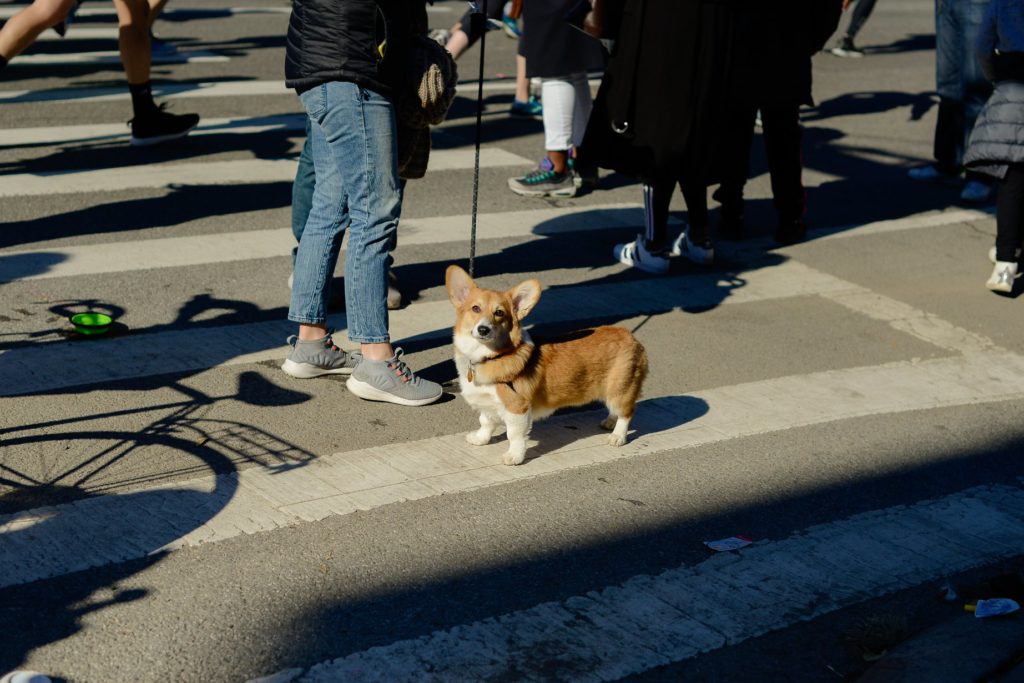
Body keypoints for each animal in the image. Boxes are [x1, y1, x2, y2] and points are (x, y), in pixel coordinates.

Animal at [442, 264, 647, 466]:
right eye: (475, 308)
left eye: (499, 313)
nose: (483, 329)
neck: (489, 356)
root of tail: (630, 336)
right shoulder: (488, 404)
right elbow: (485, 422)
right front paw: (480, 439)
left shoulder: (517, 408)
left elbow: (513, 435)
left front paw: (514, 456)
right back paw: (610, 422)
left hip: (619, 388)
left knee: (627, 412)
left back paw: (617, 436)